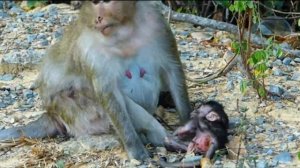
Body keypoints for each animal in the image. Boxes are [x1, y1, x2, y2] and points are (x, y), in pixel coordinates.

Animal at [0, 0, 191, 160]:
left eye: (106, 2)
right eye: (94, 2)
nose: (98, 18)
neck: (124, 31)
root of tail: (52, 115)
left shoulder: (157, 23)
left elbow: (173, 71)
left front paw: (189, 125)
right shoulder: (89, 48)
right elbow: (109, 94)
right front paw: (136, 151)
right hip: (77, 114)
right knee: (94, 95)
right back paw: (164, 139)